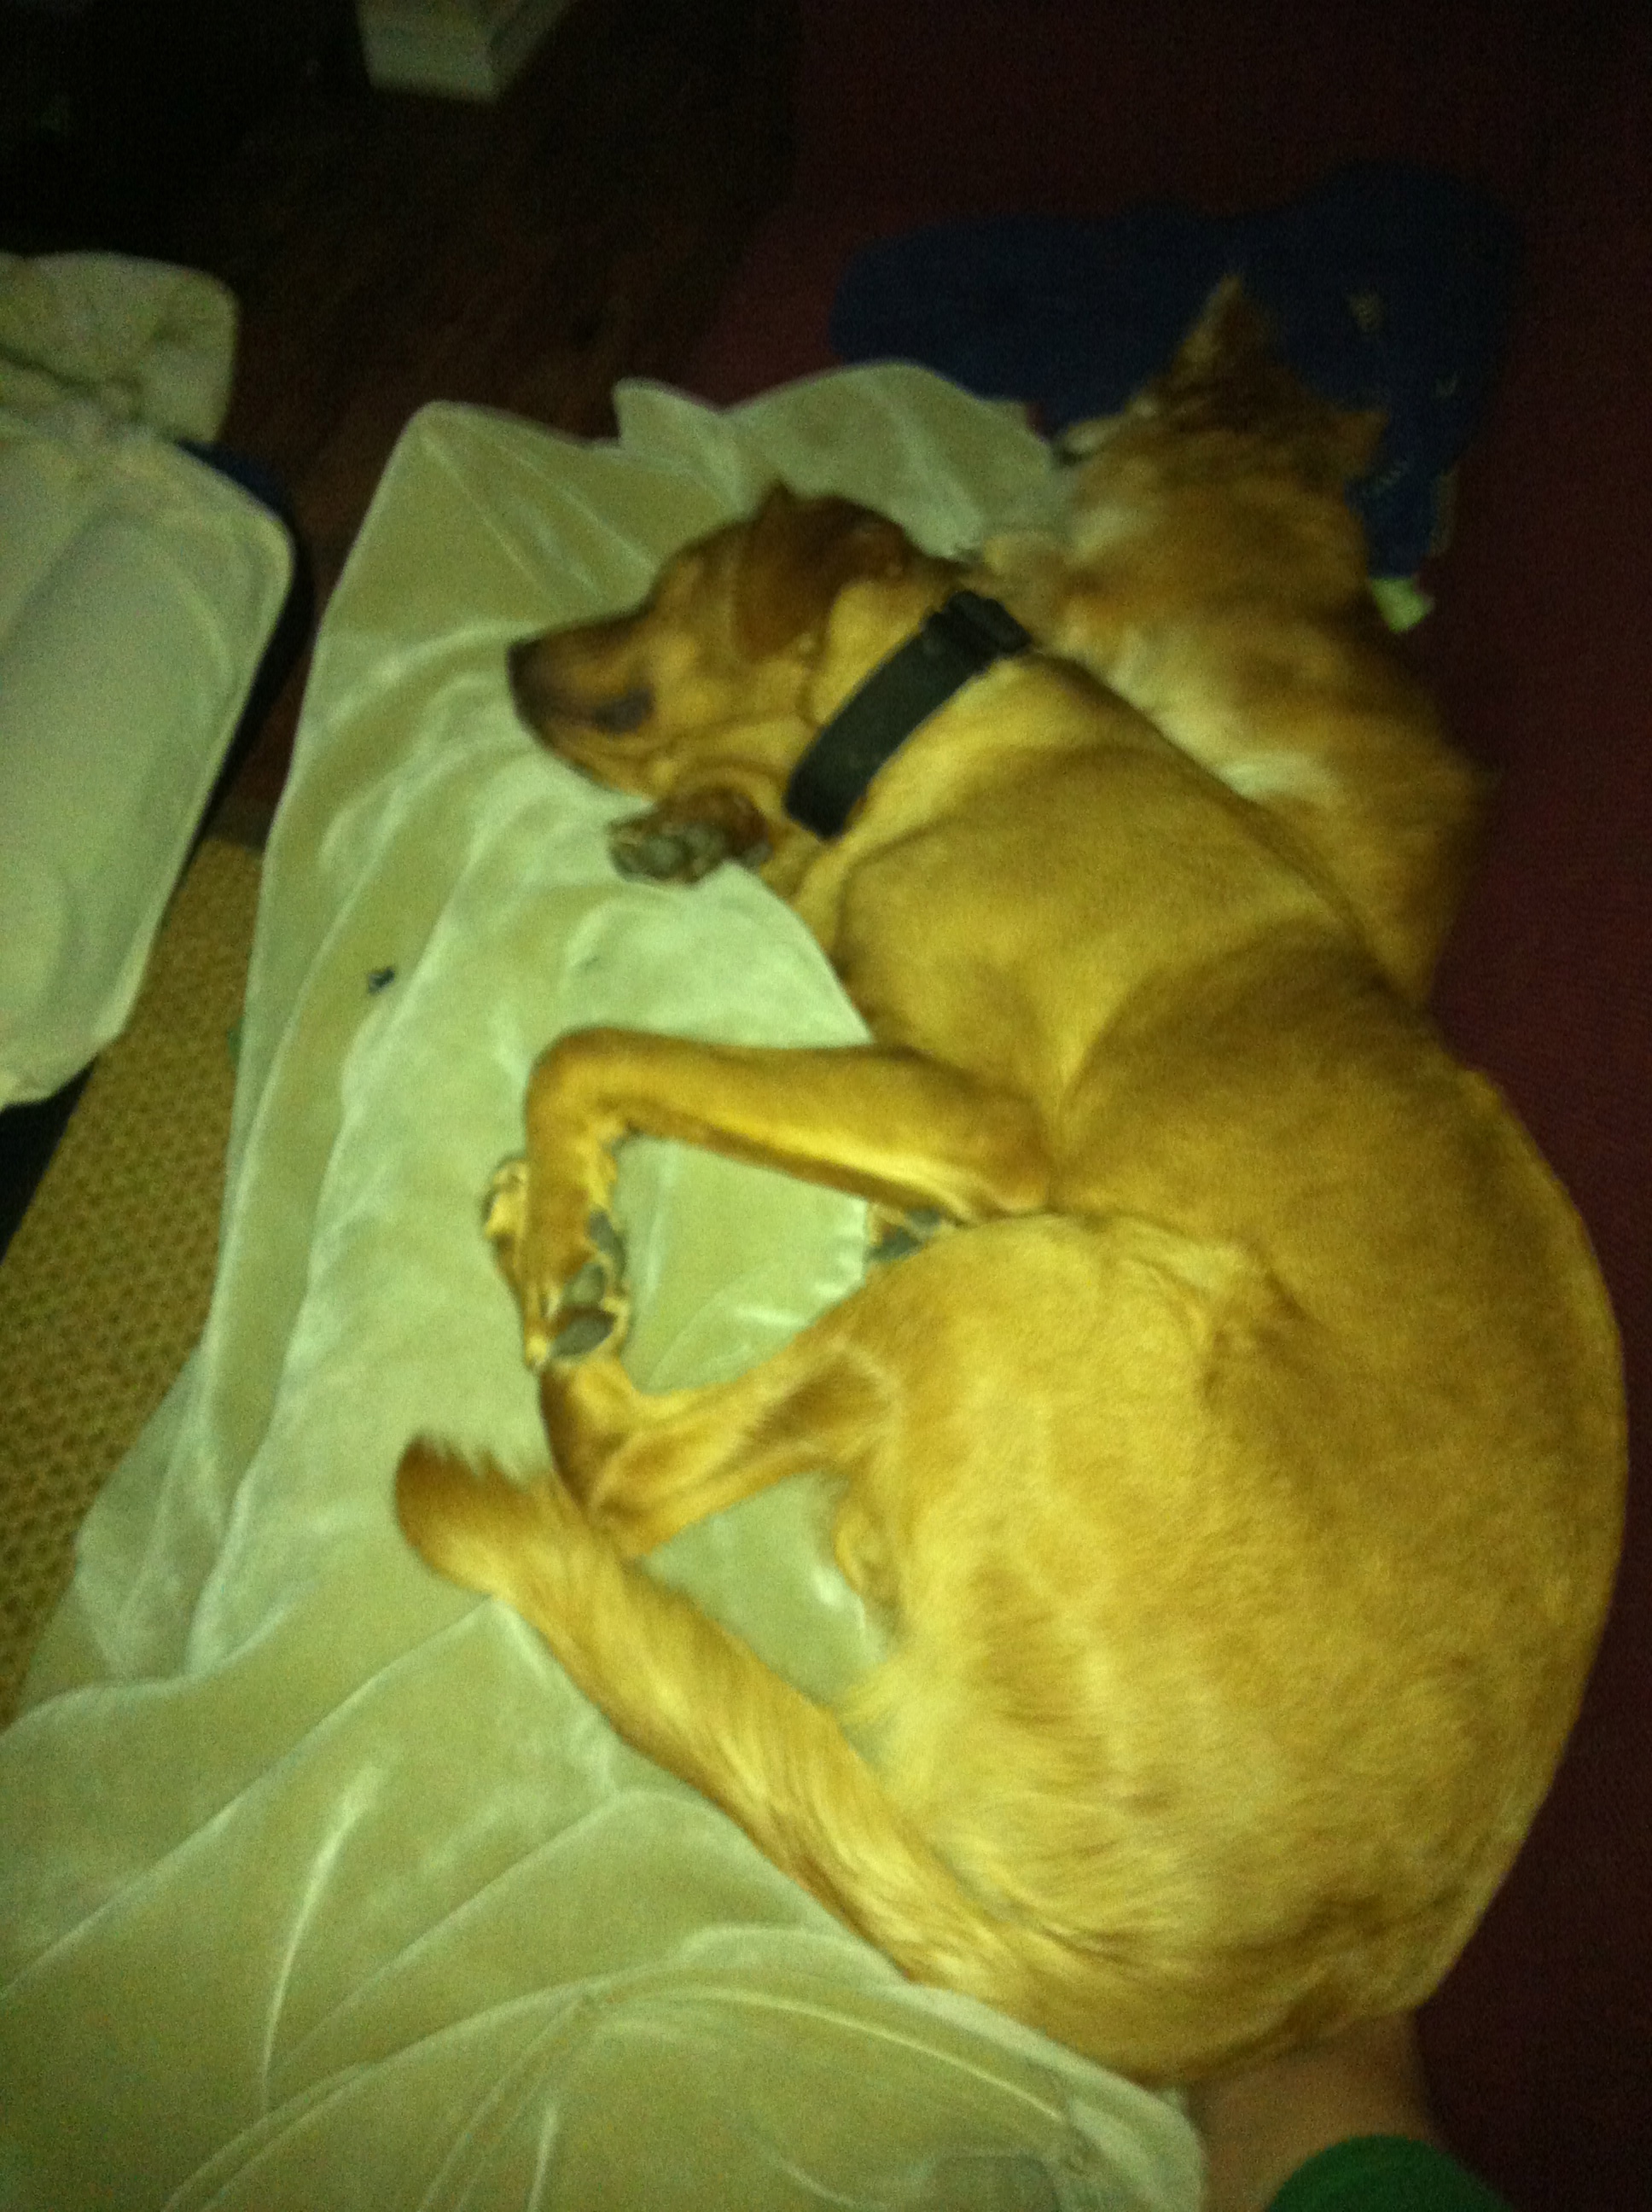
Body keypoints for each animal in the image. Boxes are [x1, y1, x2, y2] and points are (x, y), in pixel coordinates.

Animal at [395, 291, 1623, 2086]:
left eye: (672, 578)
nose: (499, 659)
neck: (939, 732)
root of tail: (1241, 1991)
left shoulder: (979, 1117)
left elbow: (589, 1047)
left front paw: (563, 1218)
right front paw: (701, 833)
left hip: (1020, 1287)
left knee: (621, 1483)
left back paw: (558, 1286)